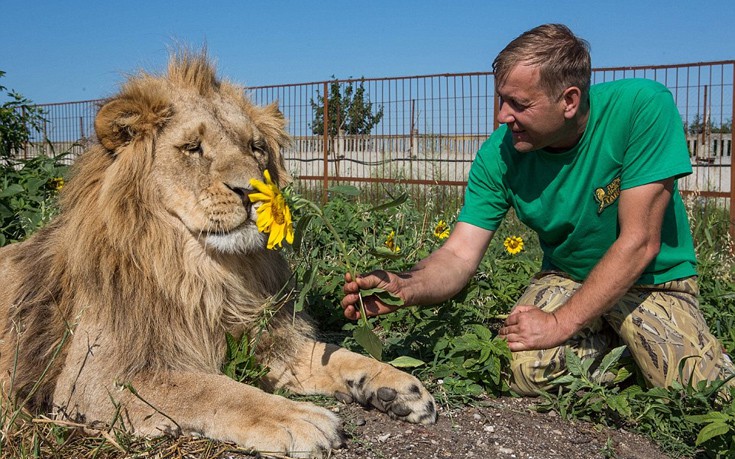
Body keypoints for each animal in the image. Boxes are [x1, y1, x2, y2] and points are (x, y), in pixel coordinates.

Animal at [0, 52, 436, 458]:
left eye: (256, 148)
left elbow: (333, 354)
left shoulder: (268, 341)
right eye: (193, 148)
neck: (211, 274)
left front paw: (396, 385)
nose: (251, 191)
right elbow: (210, 388)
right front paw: (296, 417)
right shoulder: (91, 380)